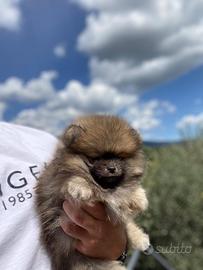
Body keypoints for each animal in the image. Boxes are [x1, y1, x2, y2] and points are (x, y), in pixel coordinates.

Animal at [35, 115, 151, 270]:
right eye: (94, 159)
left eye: (119, 158)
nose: (111, 168)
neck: (104, 188)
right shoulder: (56, 188)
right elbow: (72, 179)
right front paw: (80, 186)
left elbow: (126, 197)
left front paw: (139, 196)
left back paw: (141, 238)